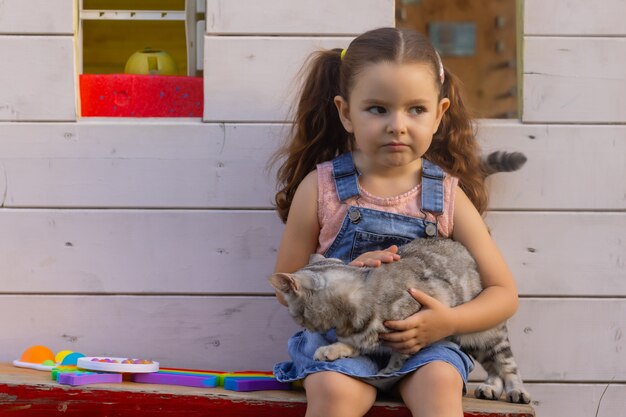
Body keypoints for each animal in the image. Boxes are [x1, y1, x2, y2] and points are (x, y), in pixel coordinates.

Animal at [266, 237, 528, 404]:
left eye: (295, 313)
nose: (303, 325)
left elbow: (397, 357)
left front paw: (388, 371)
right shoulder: (359, 334)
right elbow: (354, 343)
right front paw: (331, 350)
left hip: (487, 333)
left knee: (507, 365)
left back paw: (517, 392)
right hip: (474, 341)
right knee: (493, 368)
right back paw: (490, 387)